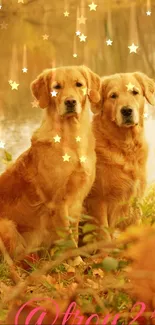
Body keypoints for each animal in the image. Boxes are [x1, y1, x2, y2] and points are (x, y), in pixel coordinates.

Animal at [0, 64, 100, 256]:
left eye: (79, 84)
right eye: (56, 87)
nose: (70, 102)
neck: (71, 138)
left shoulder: (76, 203)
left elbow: (74, 235)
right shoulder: (58, 203)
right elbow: (68, 240)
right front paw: (76, 262)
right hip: (6, 226)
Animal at [84, 71, 155, 238]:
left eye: (134, 92)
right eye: (113, 96)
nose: (127, 110)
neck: (125, 146)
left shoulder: (136, 200)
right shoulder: (97, 201)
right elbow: (104, 236)